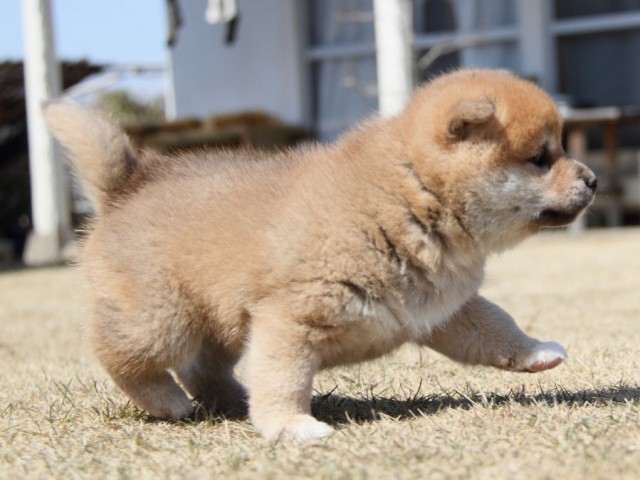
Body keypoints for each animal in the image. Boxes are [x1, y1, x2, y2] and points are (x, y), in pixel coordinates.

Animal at [47, 69, 596, 440]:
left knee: (204, 369)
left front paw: (537, 352)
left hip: (221, 321)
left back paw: (232, 398)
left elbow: (497, 326)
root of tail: (129, 185)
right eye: (541, 158)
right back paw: (166, 402)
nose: (592, 179)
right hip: (163, 320)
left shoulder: (446, 311)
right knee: (118, 354)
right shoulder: (291, 319)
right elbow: (284, 378)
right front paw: (290, 425)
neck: (410, 197)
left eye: (559, 149)